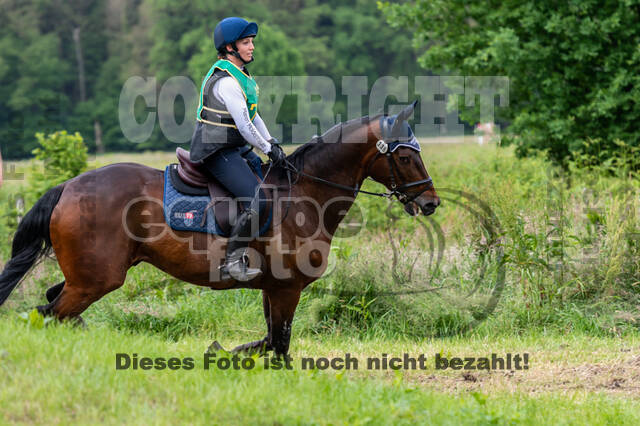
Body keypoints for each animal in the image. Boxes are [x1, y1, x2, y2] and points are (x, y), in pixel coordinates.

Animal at [0, 102, 440, 357]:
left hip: (86, 276)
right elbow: (279, 347)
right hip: (96, 279)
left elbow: (268, 342)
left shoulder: (271, 289)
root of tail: (68, 187)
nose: (431, 202)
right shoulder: (287, 288)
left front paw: (233, 353)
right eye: (404, 156)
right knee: (51, 312)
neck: (305, 195)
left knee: (52, 306)